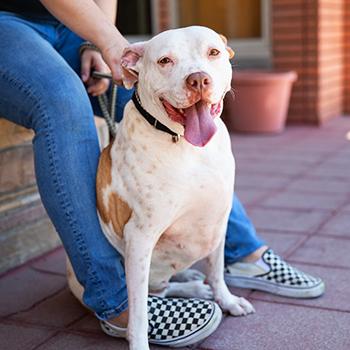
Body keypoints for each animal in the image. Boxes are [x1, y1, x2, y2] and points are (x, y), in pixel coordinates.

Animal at [67, 25, 254, 350]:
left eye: (213, 52)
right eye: (165, 60)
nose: (198, 79)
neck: (187, 146)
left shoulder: (218, 219)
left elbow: (217, 270)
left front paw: (228, 300)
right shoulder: (140, 237)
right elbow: (139, 313)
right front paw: (139, 342)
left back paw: (194, 282)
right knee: (154, 293)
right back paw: (193, 288)